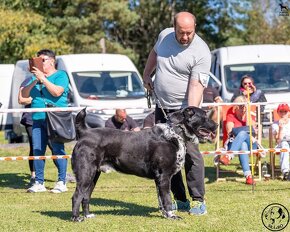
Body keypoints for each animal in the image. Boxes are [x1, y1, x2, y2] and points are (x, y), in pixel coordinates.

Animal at [71, 107, 218, 221]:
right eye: (205, 116)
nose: (216, 125)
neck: (175, 133)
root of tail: (85, 132)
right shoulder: (164, 176)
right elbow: (167, 198)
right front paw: (171, 216)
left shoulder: (159, 179)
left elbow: (161, 198)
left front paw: (165, 214)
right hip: (86, 173)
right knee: (77, 195)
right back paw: (76, 218)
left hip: (93, 175)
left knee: (85, 196)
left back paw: (87, 216)